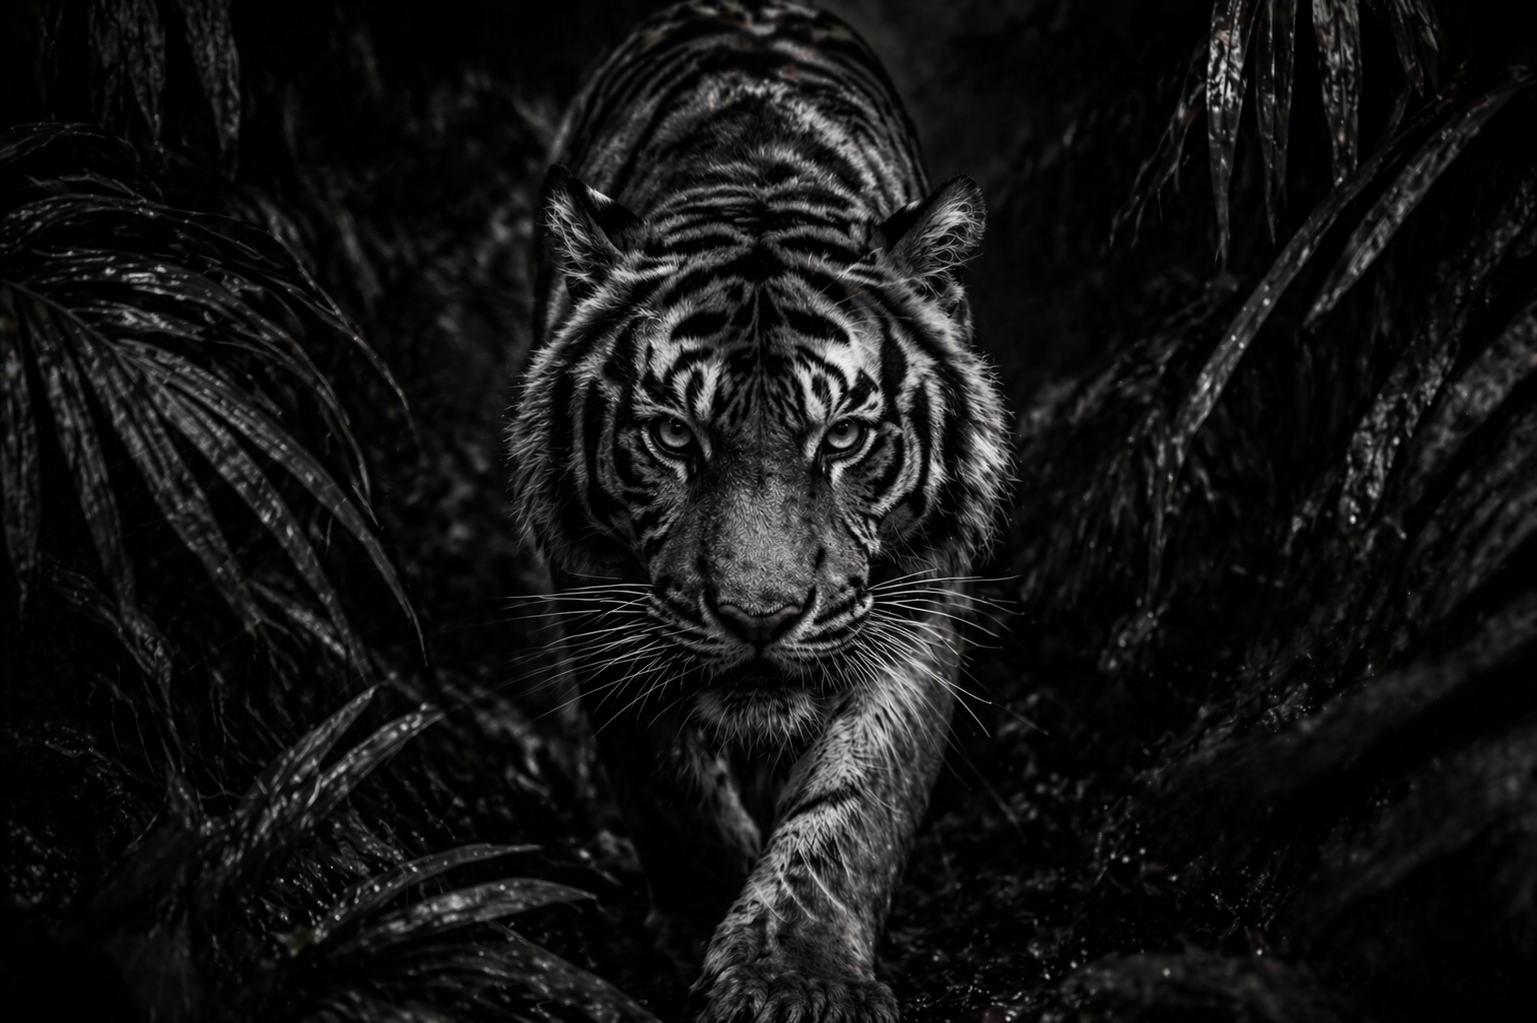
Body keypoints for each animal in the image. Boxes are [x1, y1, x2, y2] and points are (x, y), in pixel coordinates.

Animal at [507, 2, 1009, 1021]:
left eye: (843, 437)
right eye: (672, 435)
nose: (758, 618)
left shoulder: (916, 599)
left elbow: (854, 806)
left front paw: (795, 975)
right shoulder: (598, 598)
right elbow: (669, 786)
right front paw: (703, 920)